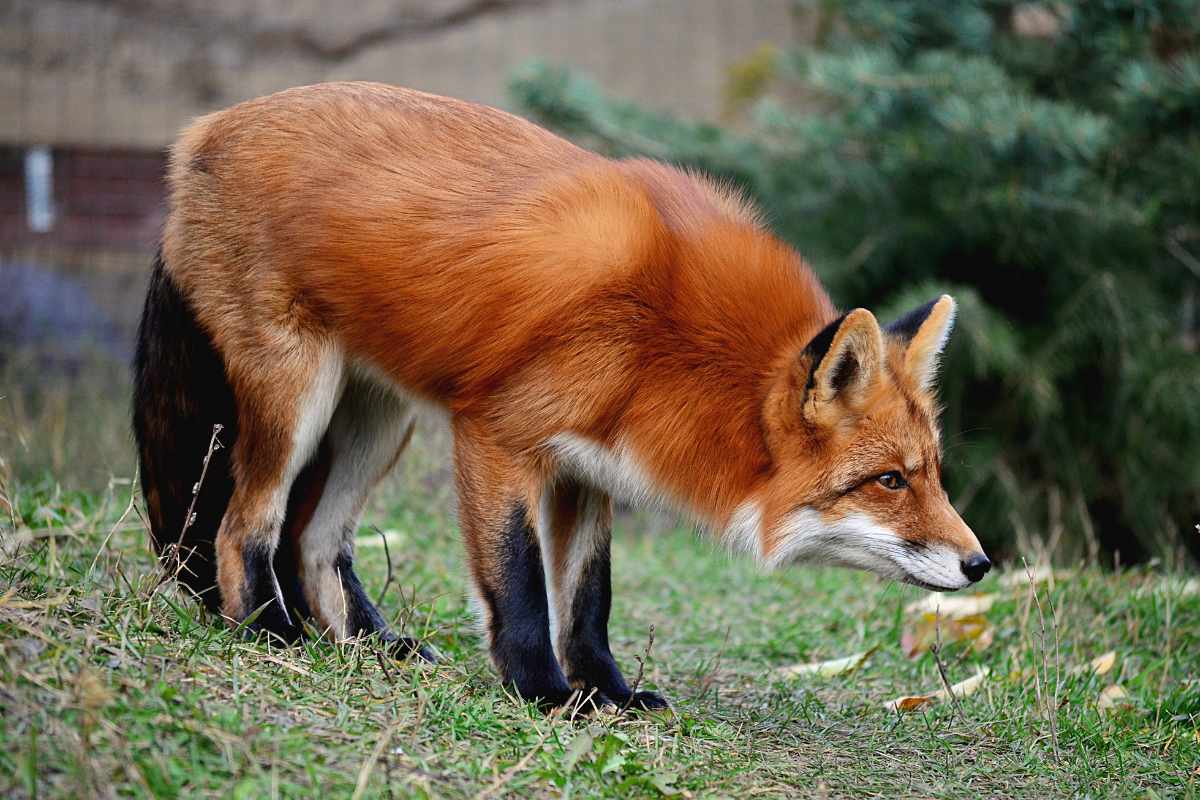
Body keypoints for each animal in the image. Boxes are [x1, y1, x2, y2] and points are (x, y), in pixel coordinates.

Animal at [133, 81, 989, 712]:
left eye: (933, 474)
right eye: (889, 480)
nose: (981, 565)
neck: (671, 335)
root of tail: (198, 133)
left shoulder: (588, 468)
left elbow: (587, 599)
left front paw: (608, 693)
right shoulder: (497, 435)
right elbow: (520, 585)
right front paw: (542, 693)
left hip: (379, 420)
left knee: (315, 540)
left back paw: (372, 646)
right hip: (298, 400)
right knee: (246, 527)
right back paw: (271, 635)